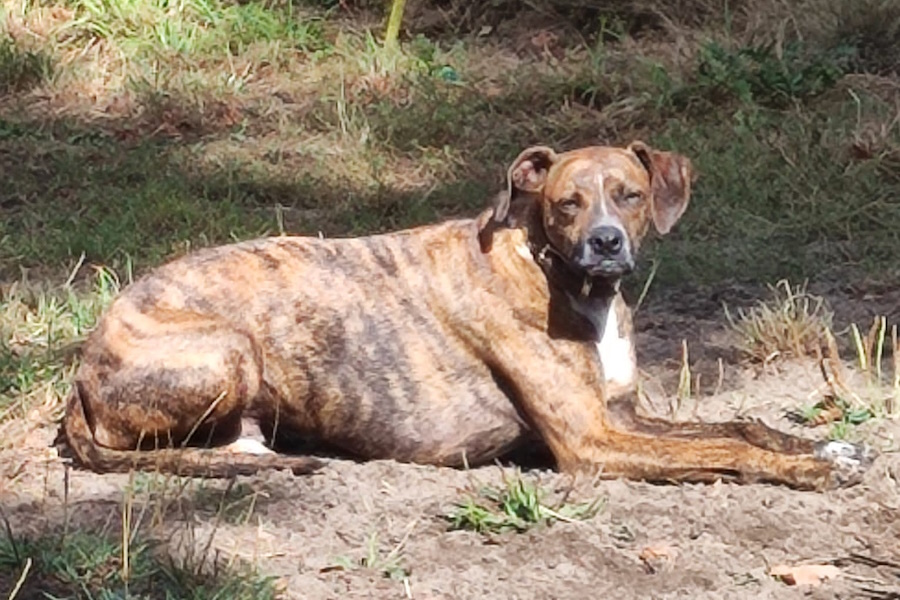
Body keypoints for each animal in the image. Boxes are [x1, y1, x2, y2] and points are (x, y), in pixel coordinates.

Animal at [61, 143, 872, 490]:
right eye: (567, 203)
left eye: (630, 195)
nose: (607, 243)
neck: (563, 278)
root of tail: (81, 374)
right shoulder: (593, 442)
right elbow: (725, 448)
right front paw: (804, 470)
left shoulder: (622, 418)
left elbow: (739, 424)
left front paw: (825, 447)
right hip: (230, 345)